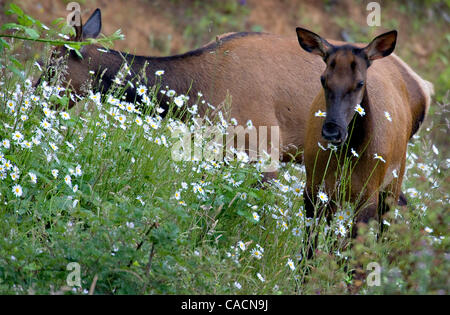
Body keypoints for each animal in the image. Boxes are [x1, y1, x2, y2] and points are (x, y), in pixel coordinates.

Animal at [296, 27, 432, 242]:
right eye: (323, 79)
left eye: (360, 83)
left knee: (388, 223)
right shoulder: (313, 187)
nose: (332, 131)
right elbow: (310, 241)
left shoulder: (369, 195)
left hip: (394, 179)